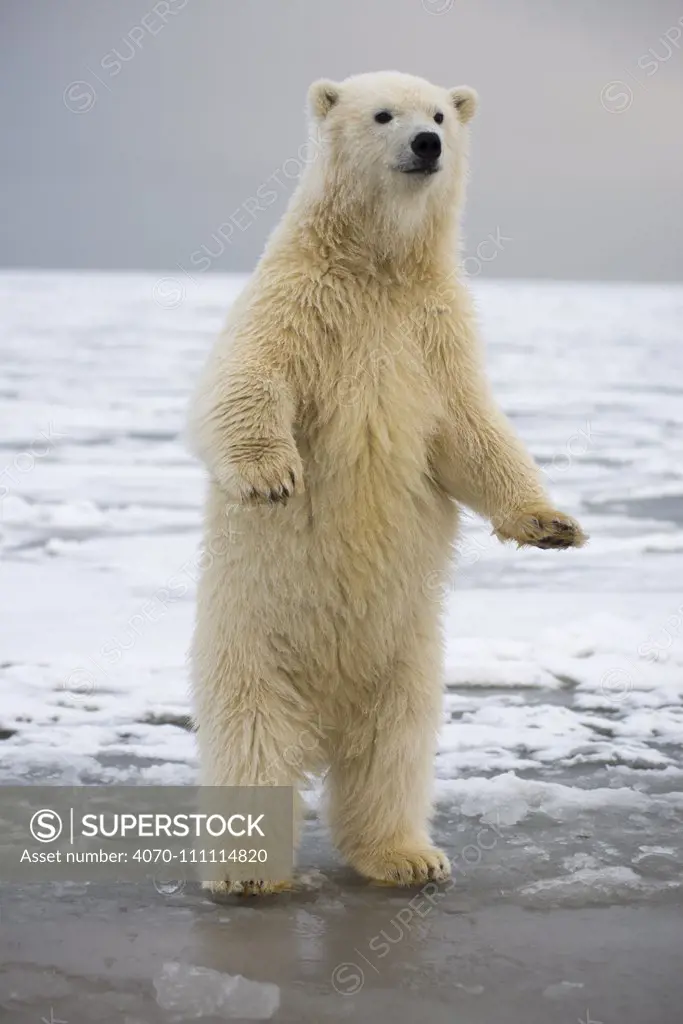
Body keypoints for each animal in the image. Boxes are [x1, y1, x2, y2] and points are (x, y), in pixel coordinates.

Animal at [188, 70, 589, 897]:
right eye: (382, 115)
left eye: (438, 113)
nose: (427, 144)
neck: (377, 266)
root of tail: (323, 720)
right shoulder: (297, 302)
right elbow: (245, 380)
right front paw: (273, 475)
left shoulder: (435, 331)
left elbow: (472, 434)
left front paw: (552, 526)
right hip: (251, 641)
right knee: (252, 741)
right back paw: (248, 872)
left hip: (408, 658)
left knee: (392, 751)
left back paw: (406, 856)